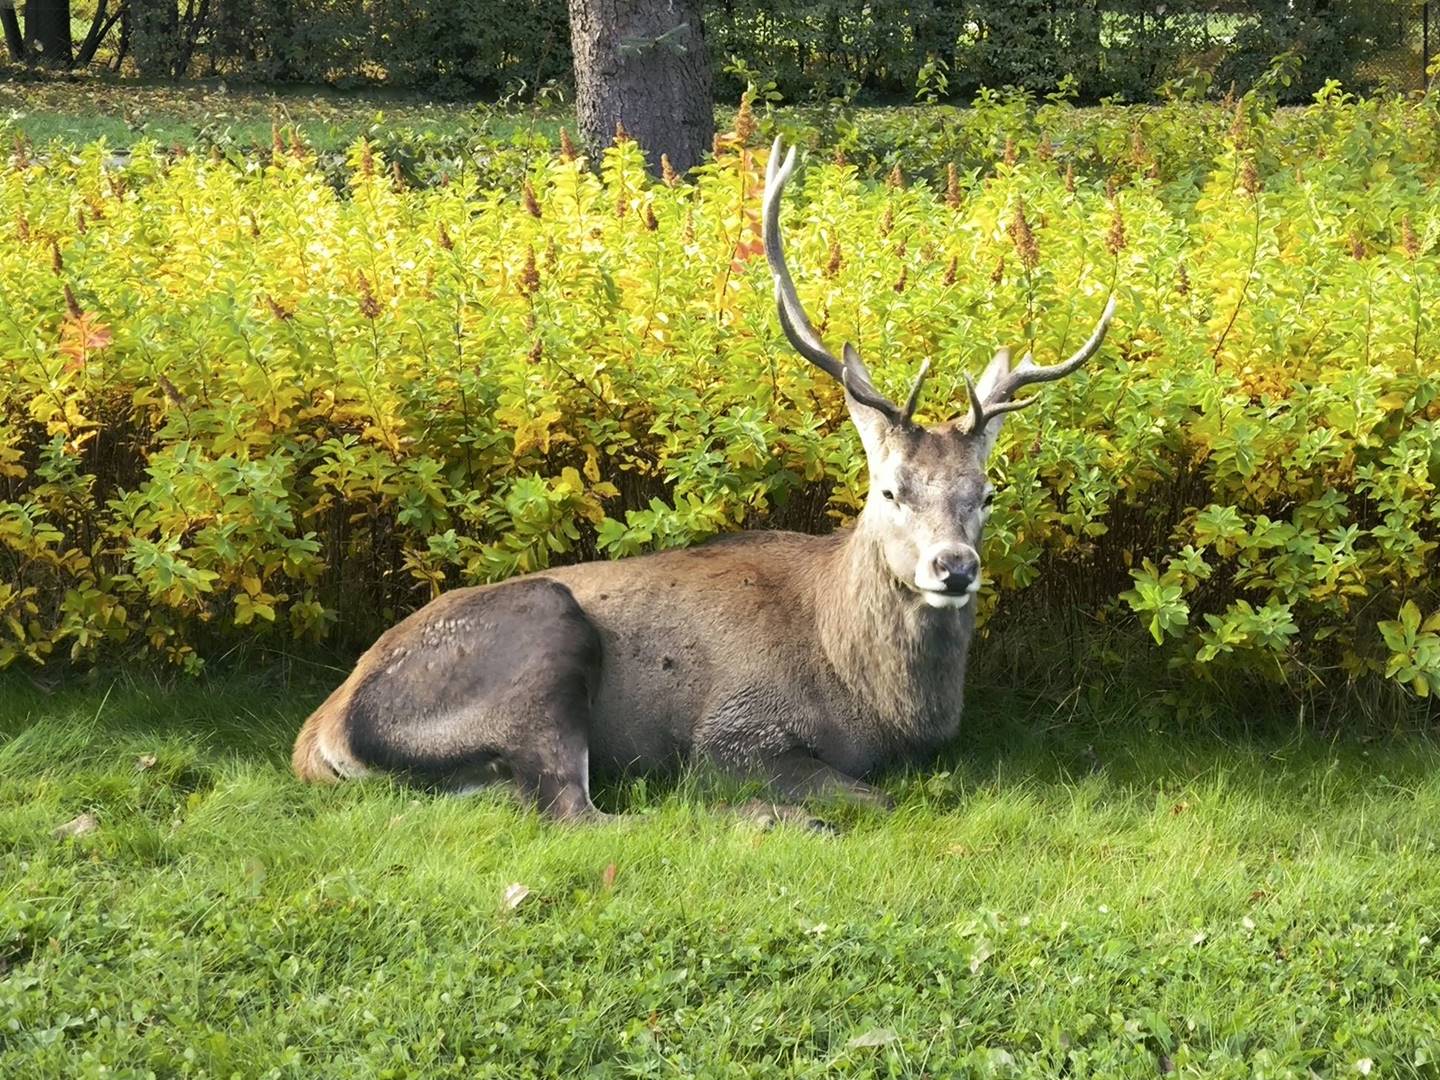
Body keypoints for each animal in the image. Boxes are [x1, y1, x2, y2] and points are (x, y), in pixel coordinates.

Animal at [292, 139, 1117, 823]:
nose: (953, 568)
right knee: (578, 811)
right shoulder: (733, 729)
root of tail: (321, 735)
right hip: (543, 639)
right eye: (890, 489)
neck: (878, 703)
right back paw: (770, 819)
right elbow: (867, 796)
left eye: (986, 493)